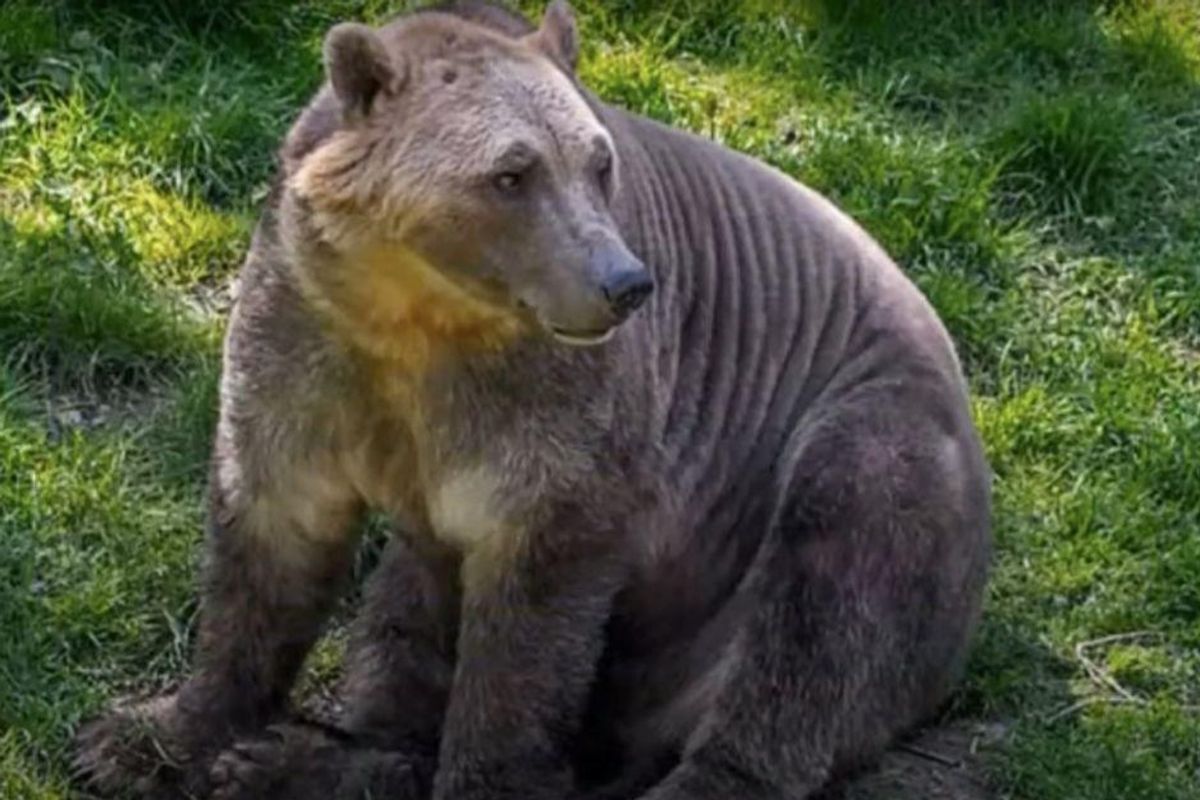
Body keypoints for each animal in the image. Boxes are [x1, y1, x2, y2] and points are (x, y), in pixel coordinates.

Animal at [73, 2, 992, 799]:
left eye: (598, 162)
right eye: (512, 172)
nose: (623, 283)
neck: (414, 314)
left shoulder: (560, 413)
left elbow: (532, 614)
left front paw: (483, 774)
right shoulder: (307, 334)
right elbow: (271, 527)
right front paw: (141, 739)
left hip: (867, 442)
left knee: (823, 601)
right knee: (404, 608)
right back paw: (299, 764)